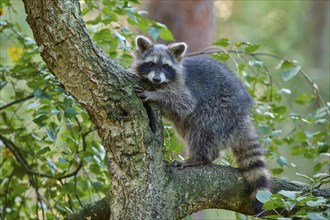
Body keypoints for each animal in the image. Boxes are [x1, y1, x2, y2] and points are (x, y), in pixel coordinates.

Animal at [129, 35, 270, 213]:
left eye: (166, 66)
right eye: (151, 64)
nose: (156, 79)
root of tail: (241, 116)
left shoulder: (183, 88)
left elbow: (183, 103)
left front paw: (156, 95)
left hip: (221, 109)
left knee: (202, 127)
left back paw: (199, 157)